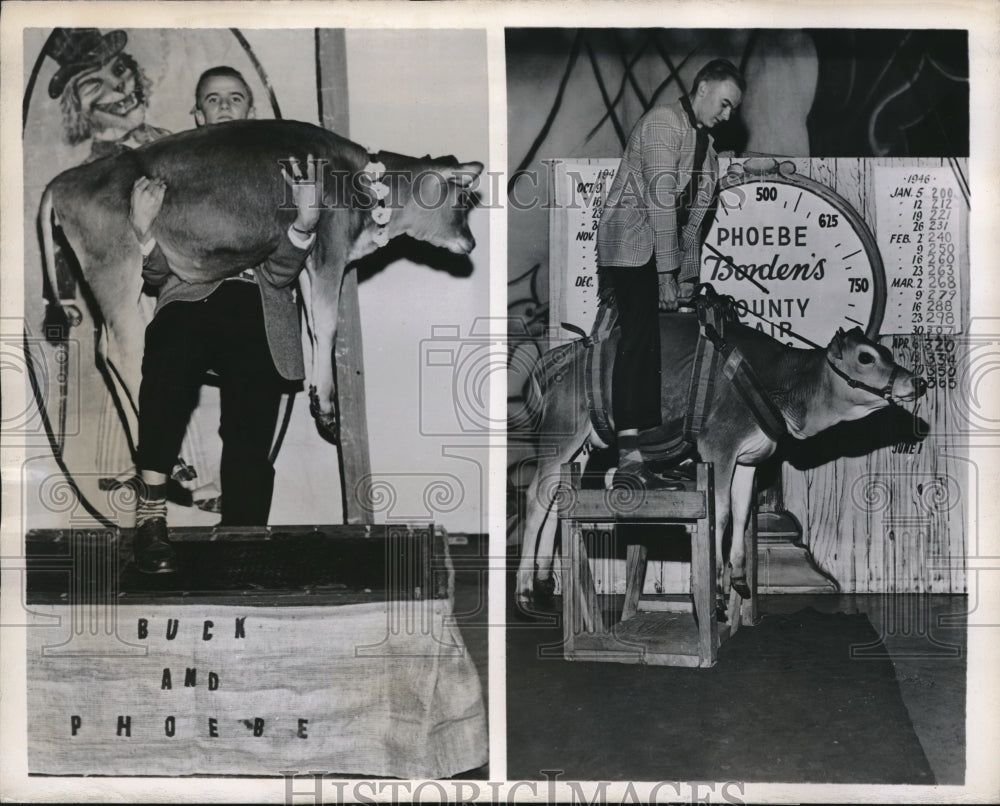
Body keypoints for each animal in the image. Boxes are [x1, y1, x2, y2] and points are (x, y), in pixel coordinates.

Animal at [41, 118, 486, 448]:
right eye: (462, 199)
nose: (471, 242)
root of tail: (64, 180)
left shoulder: (307, 260)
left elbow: (314, 326)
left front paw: (317, 396)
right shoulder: (331, 250)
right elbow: (328, 325)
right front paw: (327, 408)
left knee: (113, 346)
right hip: (116, 266)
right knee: (122, 348)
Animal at [520, 316, 924, 612]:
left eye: (885, 350)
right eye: (866, 357)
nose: (917, 381)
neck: (782, 383)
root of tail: (562, 354)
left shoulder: (748, 460)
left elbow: (743, 512)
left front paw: (739, 578)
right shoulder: (719, 448)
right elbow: (722, 511)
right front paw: (714, 588)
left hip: (581, 446)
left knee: (558, 498)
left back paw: (544, 580)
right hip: (561, 434)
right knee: (536, 497)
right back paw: (524, 590)